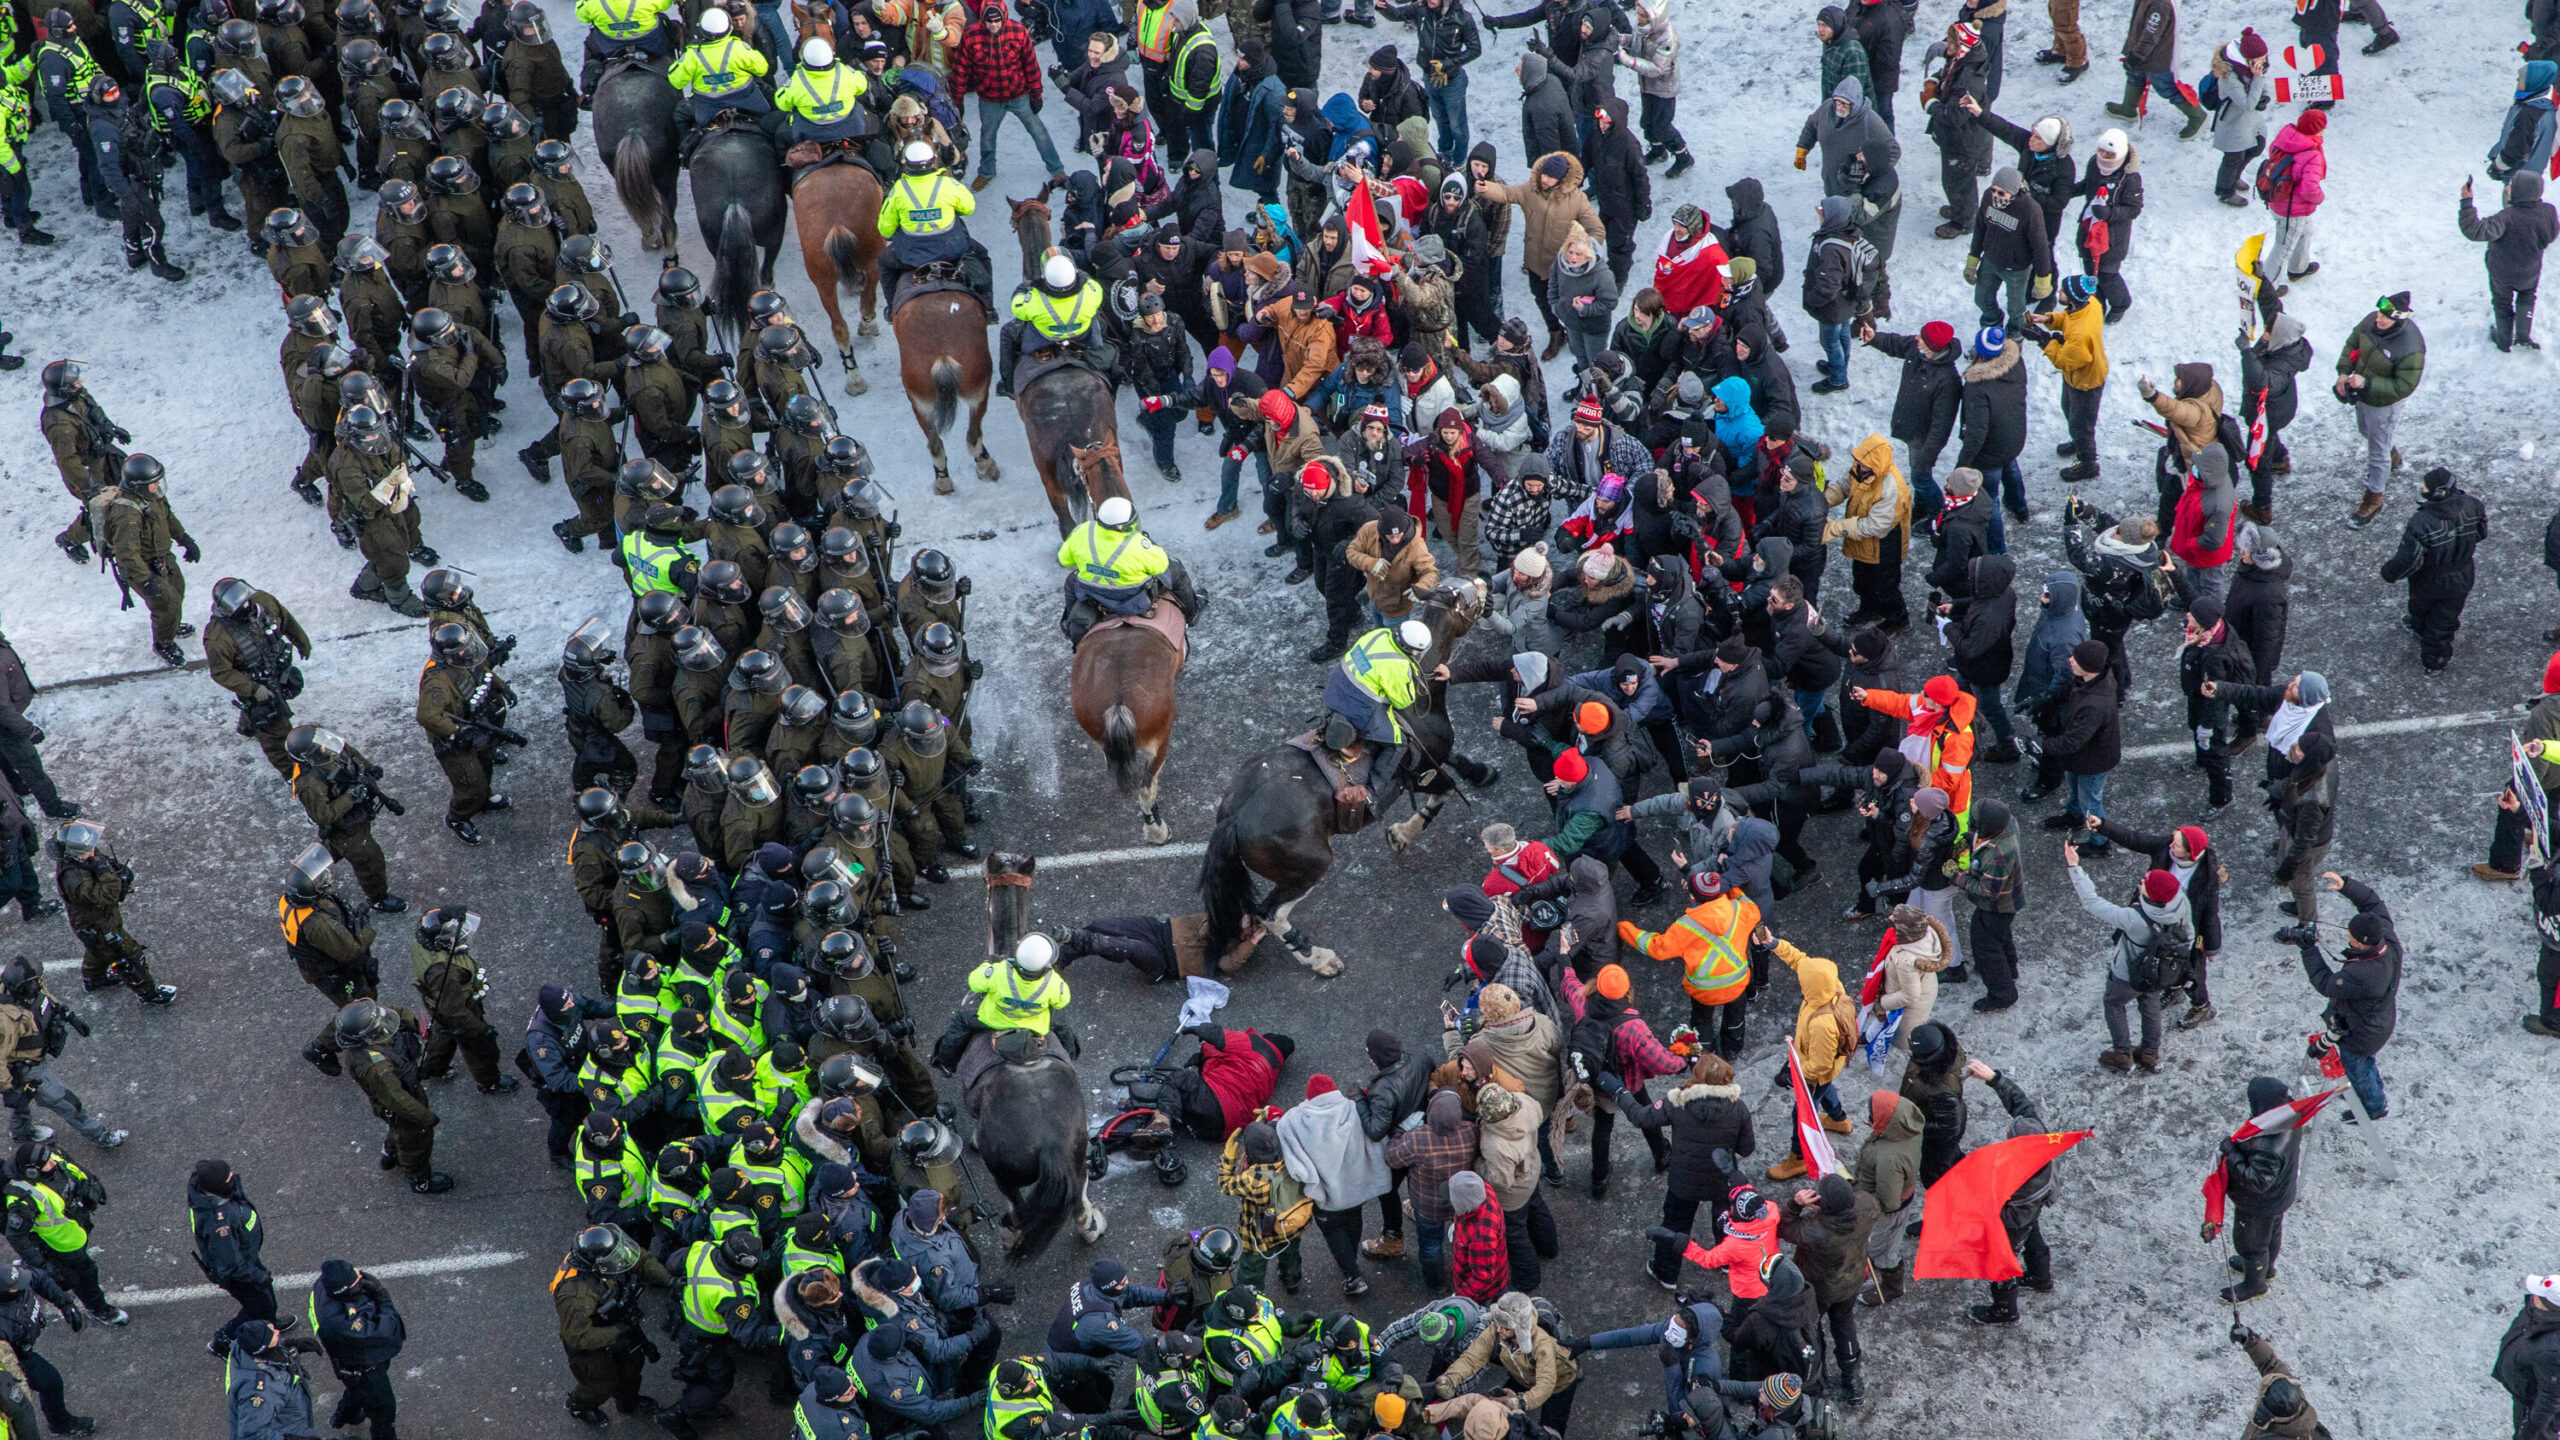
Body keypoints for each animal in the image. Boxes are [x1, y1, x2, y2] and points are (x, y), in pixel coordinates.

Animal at [798, 161, 890, 392]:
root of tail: (835, 224)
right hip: (873, 258)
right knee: (867, 303)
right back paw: (867, 328)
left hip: (823, 280)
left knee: (839, 327)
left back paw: (854, 378)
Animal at [962, 850, 1100, 1255]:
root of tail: (1050, 1142)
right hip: (1077, 1158)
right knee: (1079, 1203)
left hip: (1003, 1174)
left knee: (1019, 1209)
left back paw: (1011, 1234)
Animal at [1203, 573, 1495, 973]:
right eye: (1464, 595)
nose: (1485, 581)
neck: (1421, 699)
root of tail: (1234, 818)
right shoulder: (1420, 766)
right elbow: (1442, 792)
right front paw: (1402, 833)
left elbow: (1453, 765)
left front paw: (1479, 770)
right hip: (1309, 865)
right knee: (1271, 913)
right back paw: (1318, 958)